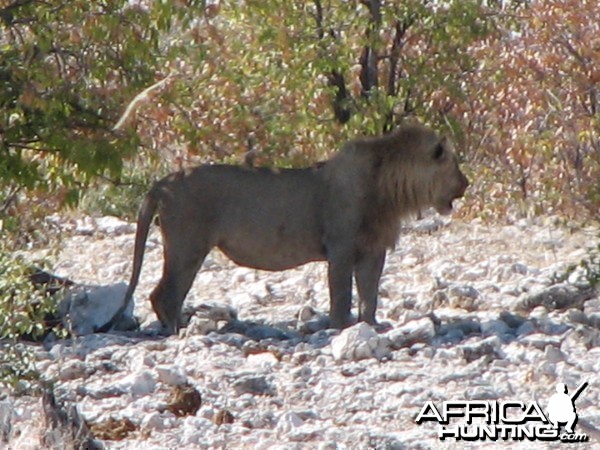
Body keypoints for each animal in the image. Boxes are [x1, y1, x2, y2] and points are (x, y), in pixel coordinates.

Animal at [102, 123, 468, 334]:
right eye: (454, 164)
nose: (466, 184)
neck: (392, 189)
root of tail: (162, 182)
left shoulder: (373, 250)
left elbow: (370, 294)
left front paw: (371, 326)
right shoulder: (341, 248)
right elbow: (342, 294)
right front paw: (341, 329)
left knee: (166, 293)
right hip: (187, 247)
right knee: (163, 293)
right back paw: (179, 332)